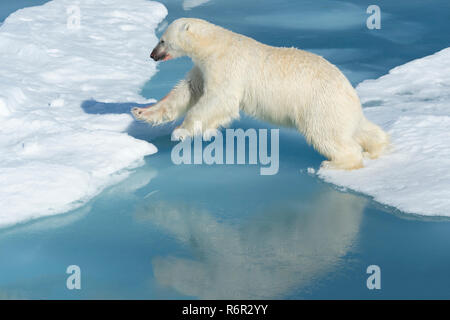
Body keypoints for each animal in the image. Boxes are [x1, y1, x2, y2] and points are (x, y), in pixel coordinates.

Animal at [132, 18, 388, 170]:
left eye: (162, 40)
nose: (152, 55)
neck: (215, 44)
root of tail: (350, 90)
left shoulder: (227, 65)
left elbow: (219, 99)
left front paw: (181, 131)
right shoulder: (203, 68)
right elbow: (188, 90)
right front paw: (141, 111)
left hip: (321, 104)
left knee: (327, 135)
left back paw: (335, 164)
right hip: (342, 109)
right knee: (361, 129)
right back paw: (379, 145)